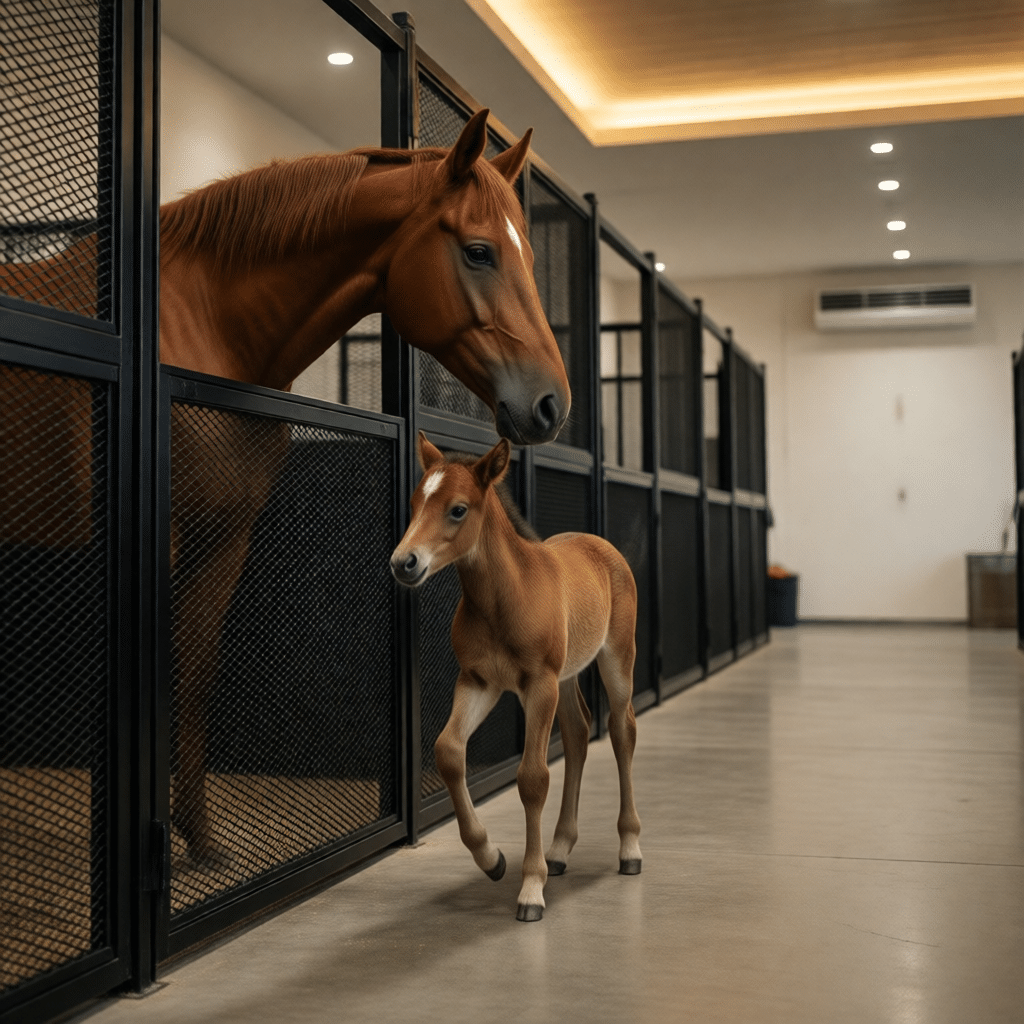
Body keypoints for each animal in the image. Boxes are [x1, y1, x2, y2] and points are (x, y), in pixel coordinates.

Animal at [1, 109, 571, 869]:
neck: (208, 323)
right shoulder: (164, 532)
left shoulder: (227, 534)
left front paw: (202, 840)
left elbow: (196, 669)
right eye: (479, 252)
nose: (551, 405)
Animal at [390, 432, 642, 921]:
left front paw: (530, 889)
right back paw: (560, 850)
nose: (402, 563)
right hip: (566, 676)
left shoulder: (537, 685)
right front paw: (491, 858)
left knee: (622, 731)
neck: (504, 597)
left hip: (616, 657)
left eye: (458, 509)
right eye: (415, 503)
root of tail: (600, 545)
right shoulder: (478, 681)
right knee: (579, 733)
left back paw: (630, 849)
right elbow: (448, 751)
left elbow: (533, 778)